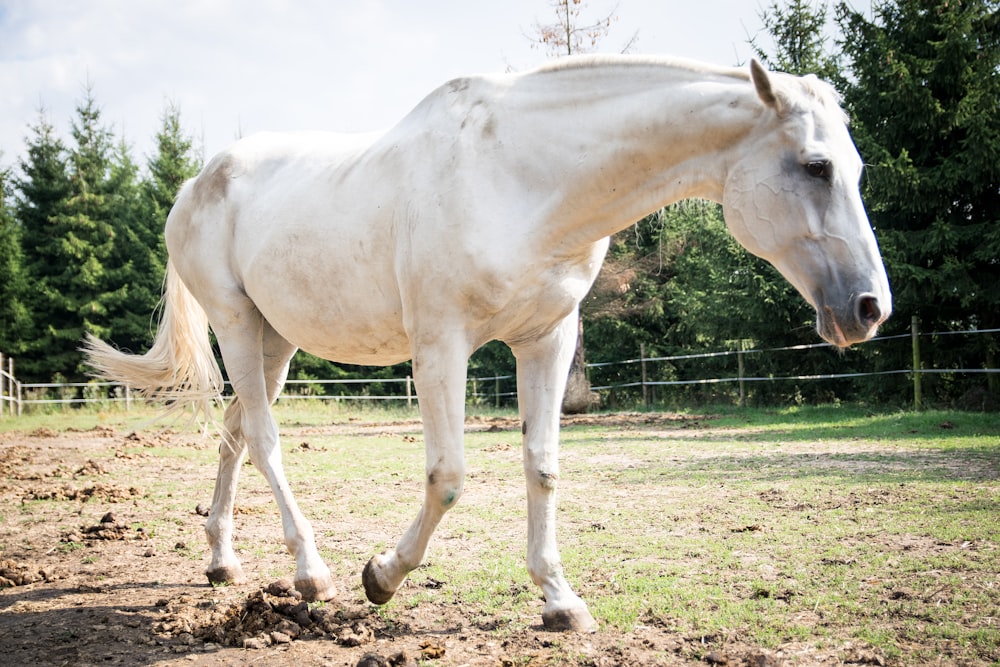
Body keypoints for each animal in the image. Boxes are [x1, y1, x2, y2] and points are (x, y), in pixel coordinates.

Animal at [84, 56, 892, 632]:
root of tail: (196, 181)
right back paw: (311, 572)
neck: (524, 177)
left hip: (275, 337)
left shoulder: (547, 339)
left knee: (234, 435)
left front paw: (560, 600)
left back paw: (222, 561)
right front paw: (381, 575)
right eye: (815, 165)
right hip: (236, 325)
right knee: (263, 438)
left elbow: (543, 467)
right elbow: (448, 476)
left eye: (854, 168)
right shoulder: (442, 344)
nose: (869, 308)